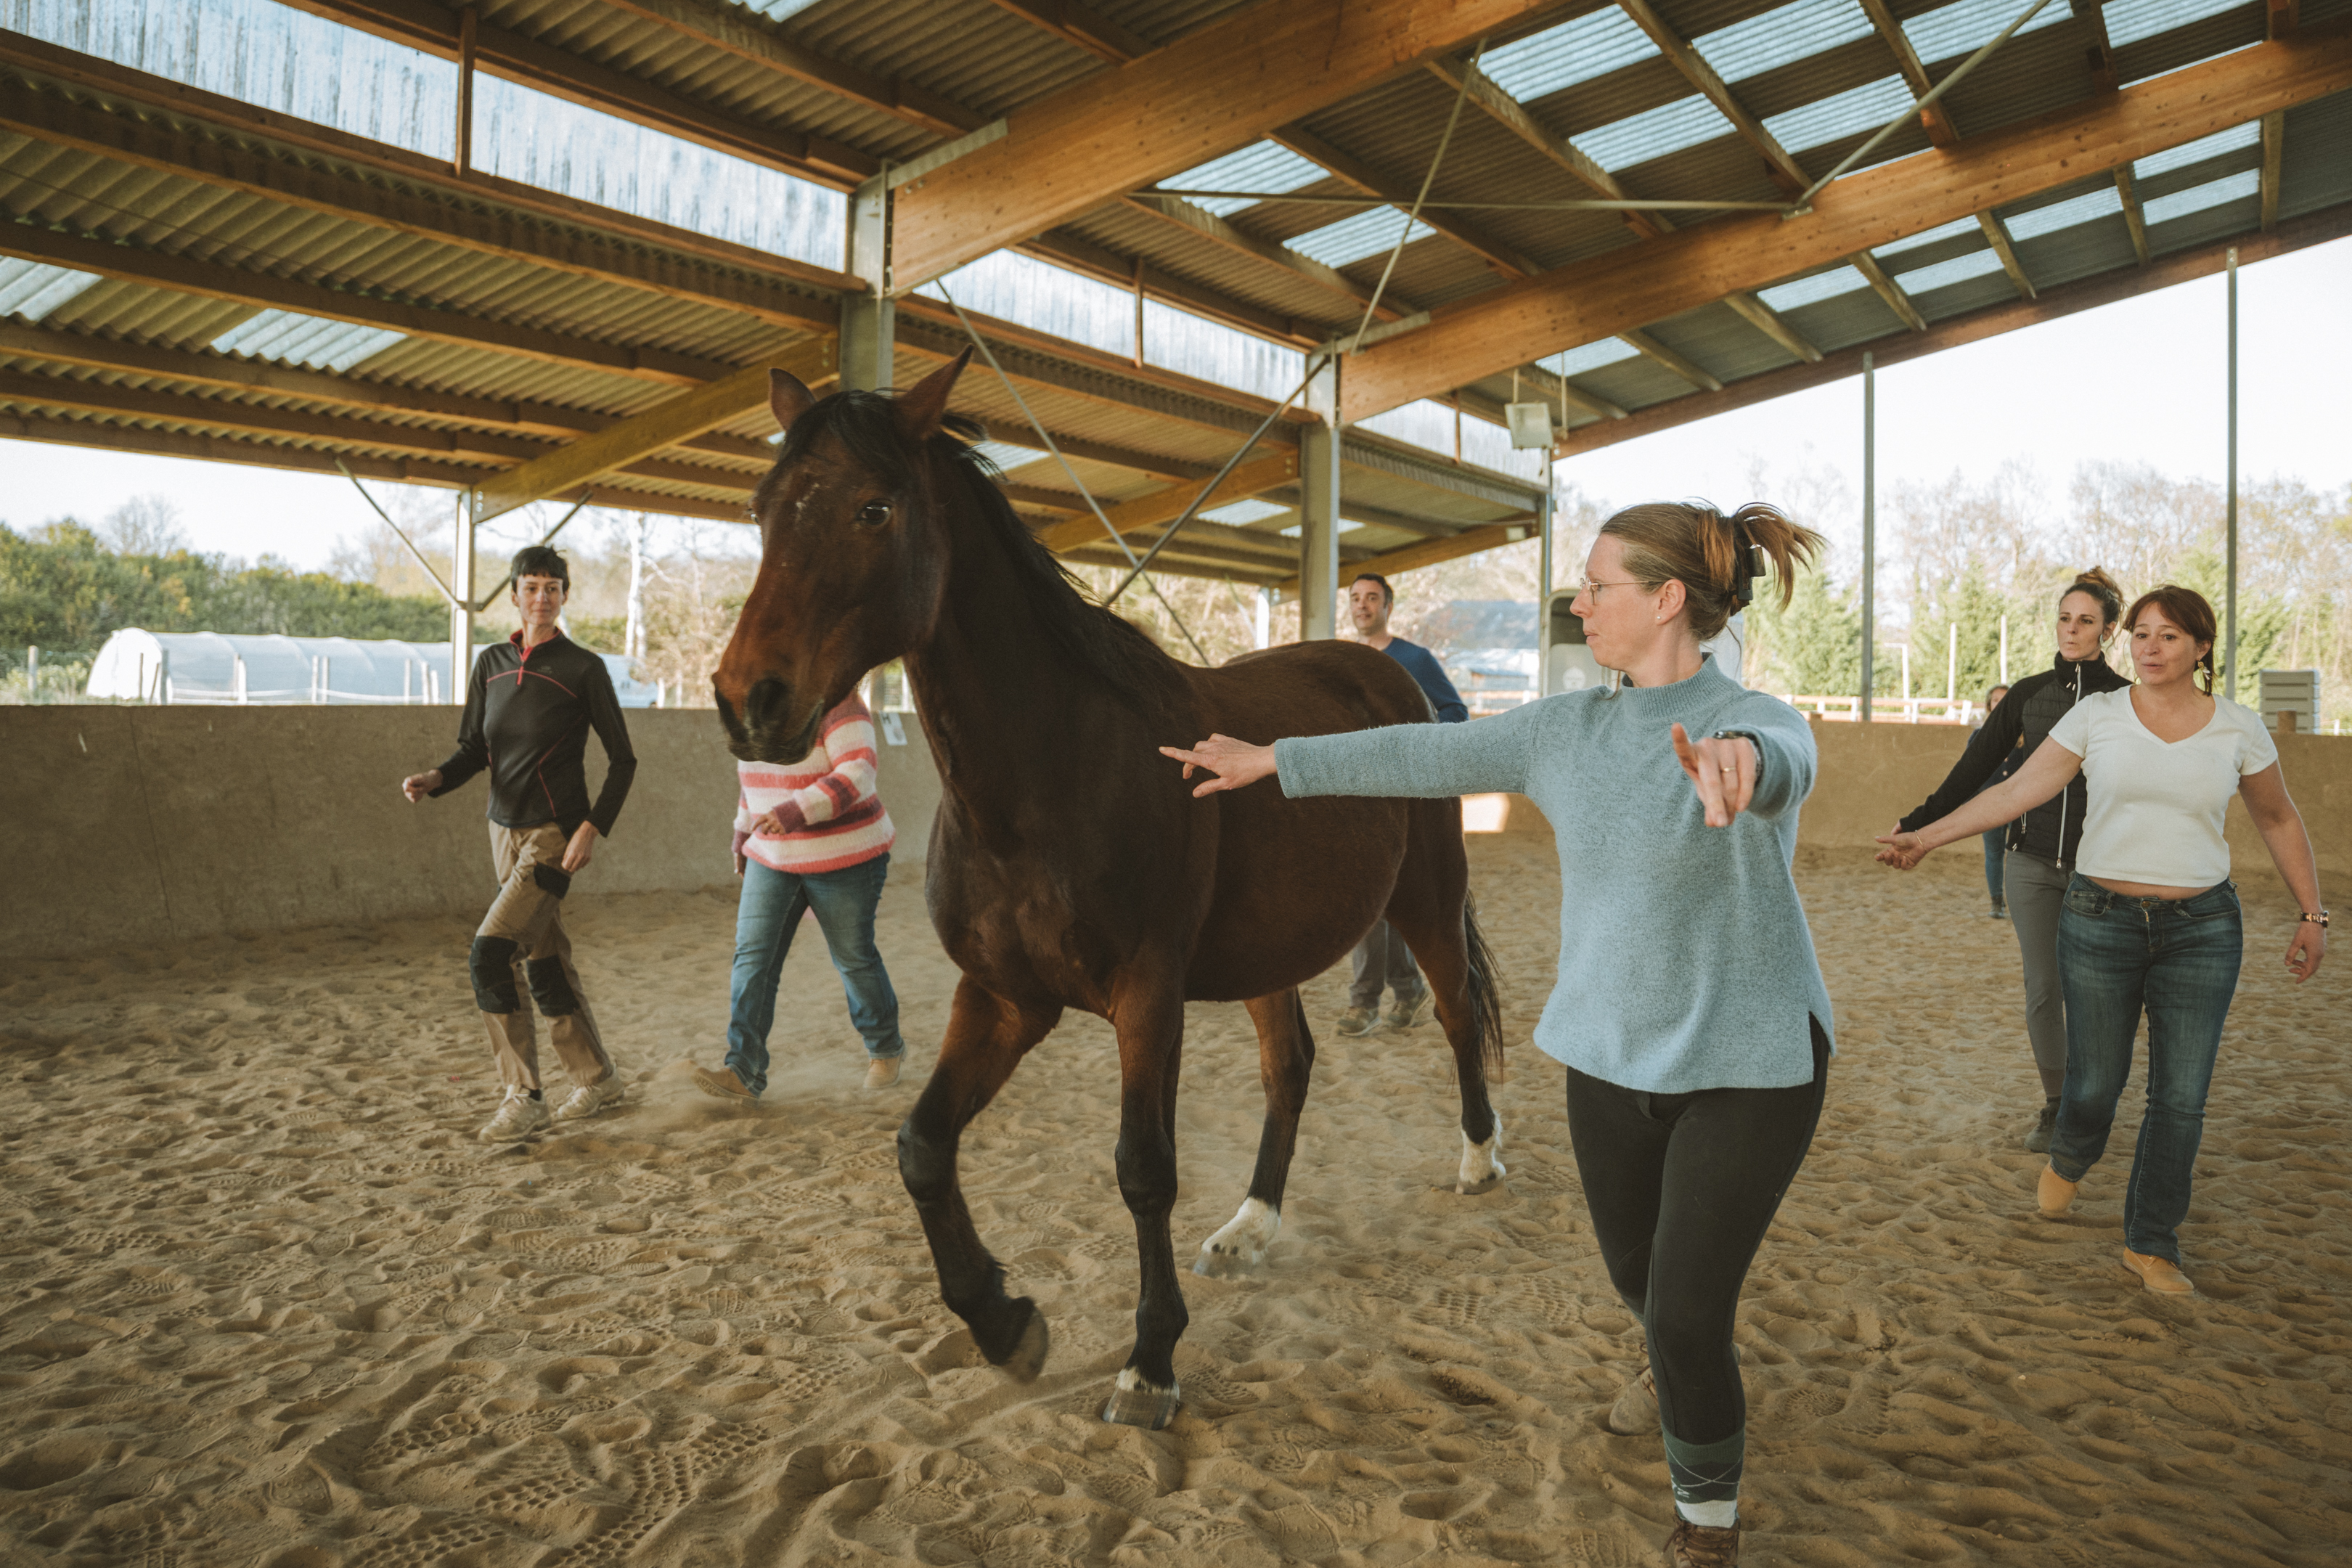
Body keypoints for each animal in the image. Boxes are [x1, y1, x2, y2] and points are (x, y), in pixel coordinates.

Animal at [713, 351, 1506, 1430]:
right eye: (762, 508)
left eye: (874, 508)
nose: (749, 701)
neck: (1050, 776)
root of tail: (1383, 673)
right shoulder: (1003, 1000)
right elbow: (922, 1146)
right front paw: (1004, 1321)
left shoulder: (1147, 997)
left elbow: (1142, 1169)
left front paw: (1150, 1363)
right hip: (1272, 952)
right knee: (1290, 1066)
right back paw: (1250, 1226)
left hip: (1424, 899)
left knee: (1459, 1015)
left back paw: (1478, 1161)